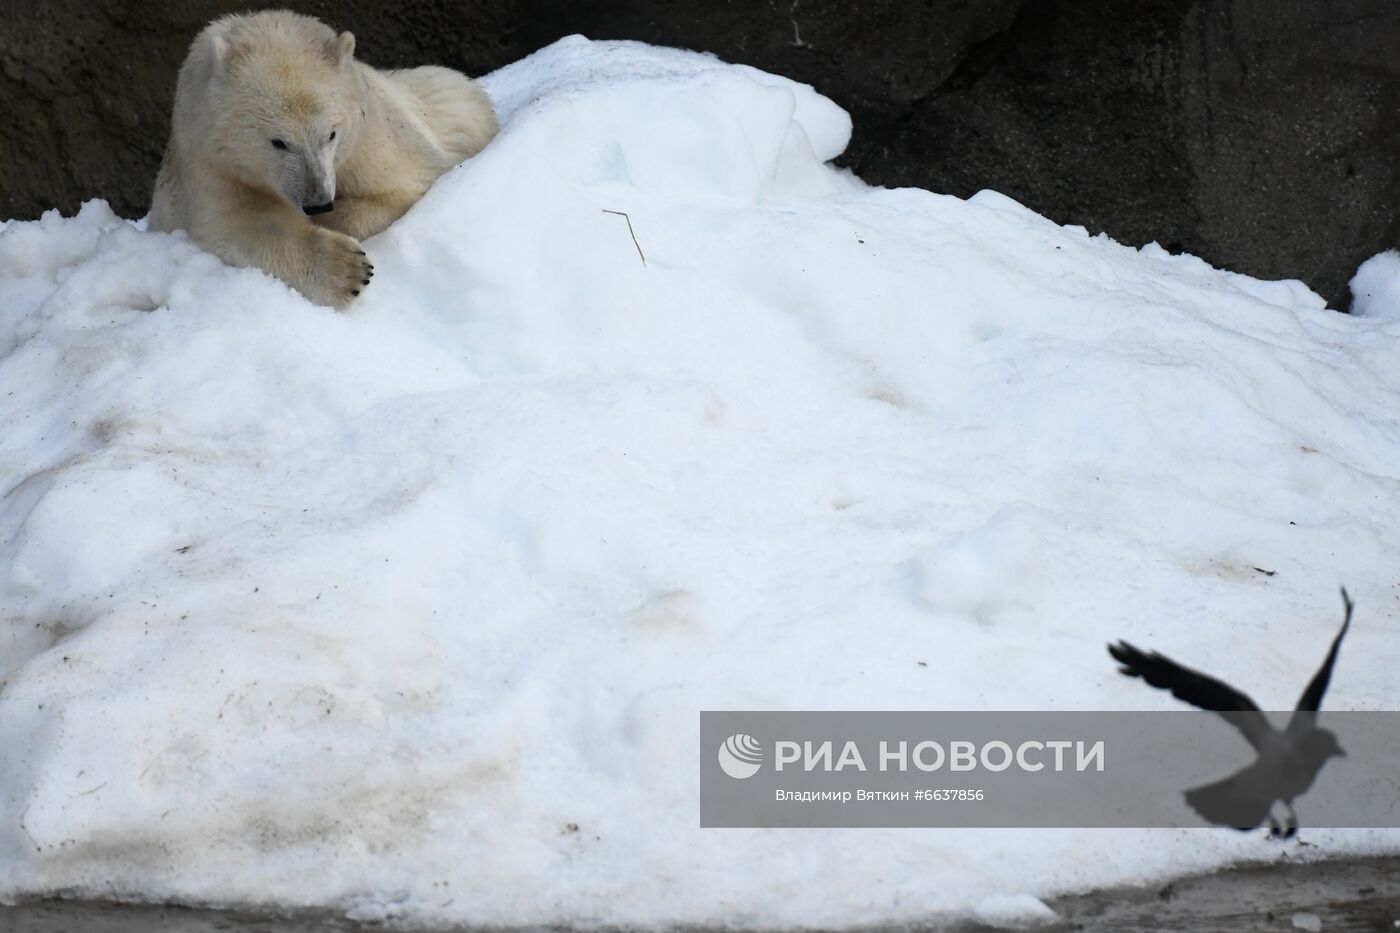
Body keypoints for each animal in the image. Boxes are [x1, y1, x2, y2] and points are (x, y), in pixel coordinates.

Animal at [147, 10, 495, 306]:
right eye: (279, 142)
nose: (318, 202)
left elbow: (409, 181)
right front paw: (350, 270)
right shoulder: (209, 158)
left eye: (331, 134)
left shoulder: (366, 135)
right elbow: (237, 224)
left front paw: (335, 224)